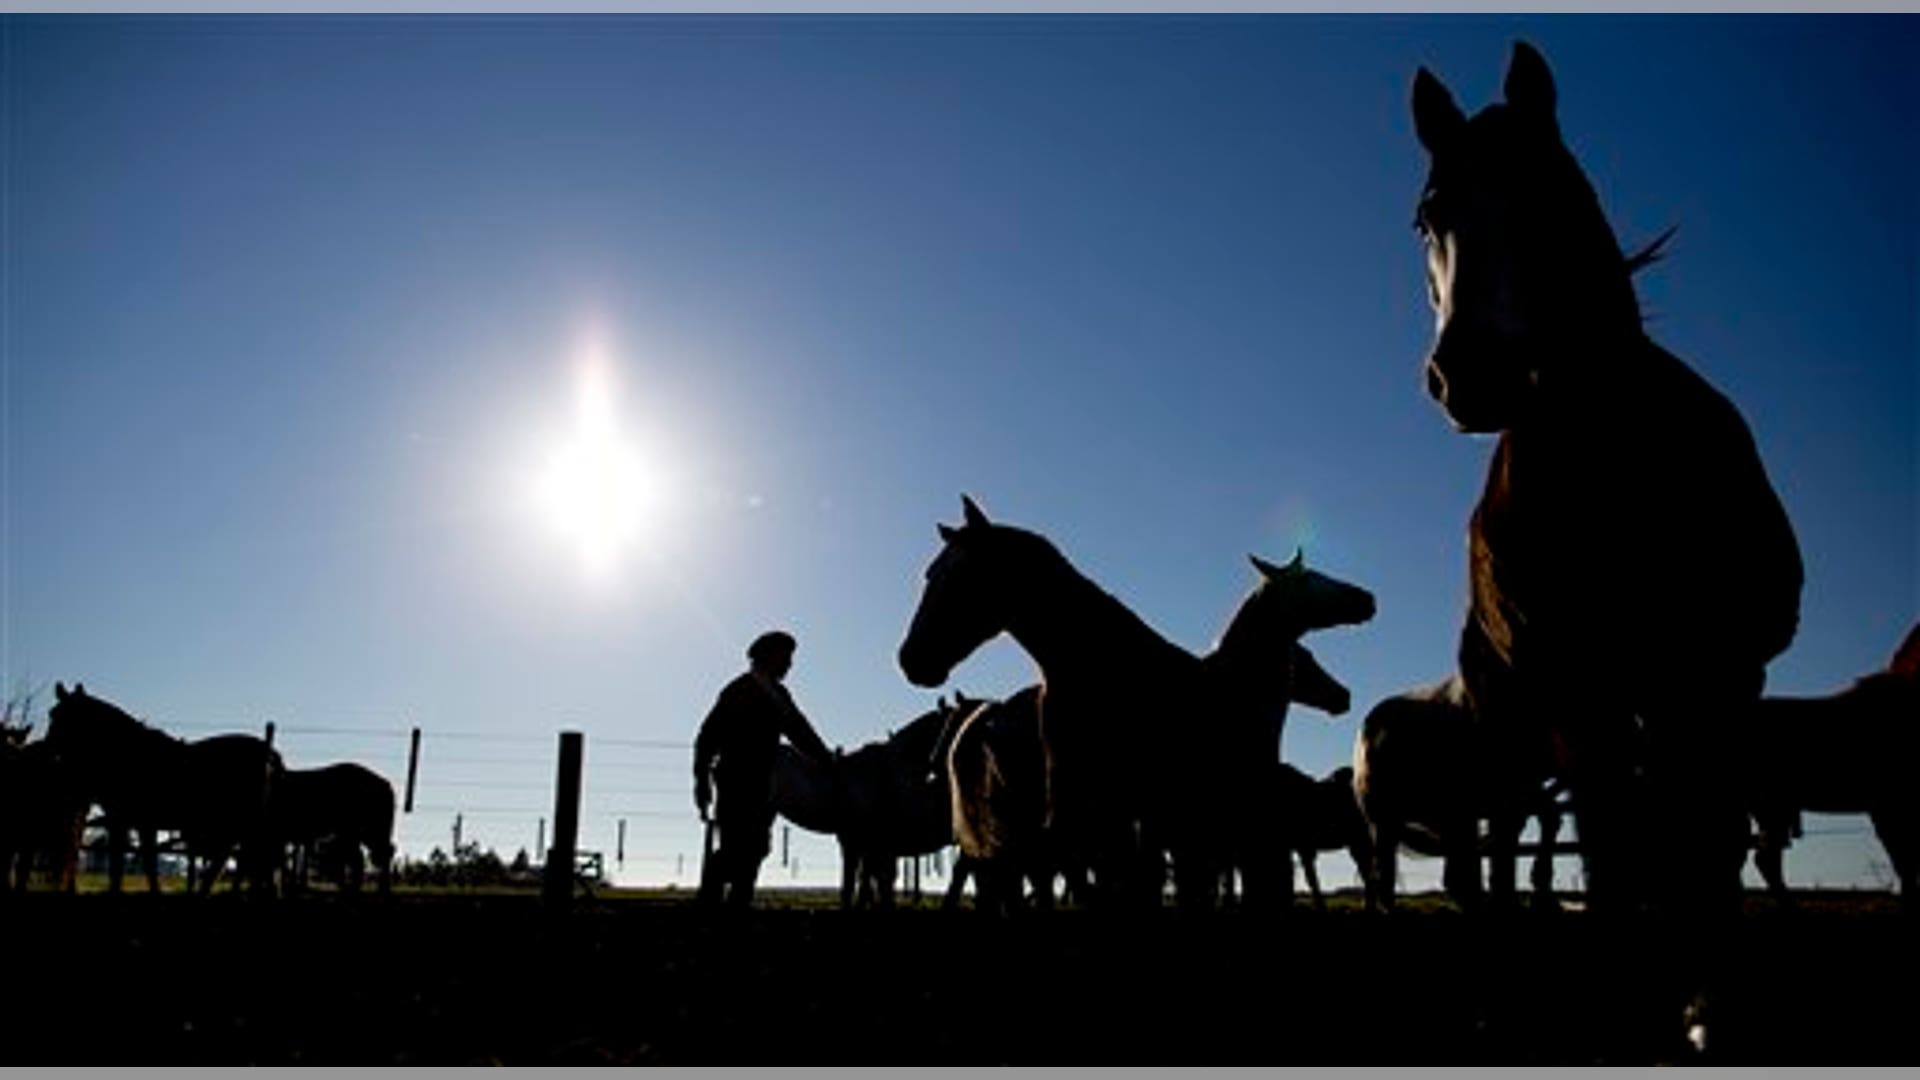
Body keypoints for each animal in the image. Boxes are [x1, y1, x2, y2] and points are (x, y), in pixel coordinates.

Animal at [45, 682, 283, 896]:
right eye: (52, 714)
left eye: (60, 716)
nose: (48, 749)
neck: (126, 753)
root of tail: (270, 753)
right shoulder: (136, 824)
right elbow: (139, 865)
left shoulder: (127, 822)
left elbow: (128, 866)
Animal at [1411, 42, 1803, 915]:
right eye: (1427, 219)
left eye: (1551, 191)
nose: (1474, 374)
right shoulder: (1584, 698)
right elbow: (1620, 855)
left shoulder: (1721, 680)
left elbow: (1705, 852)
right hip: (1522, 726)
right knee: (1503, 839)